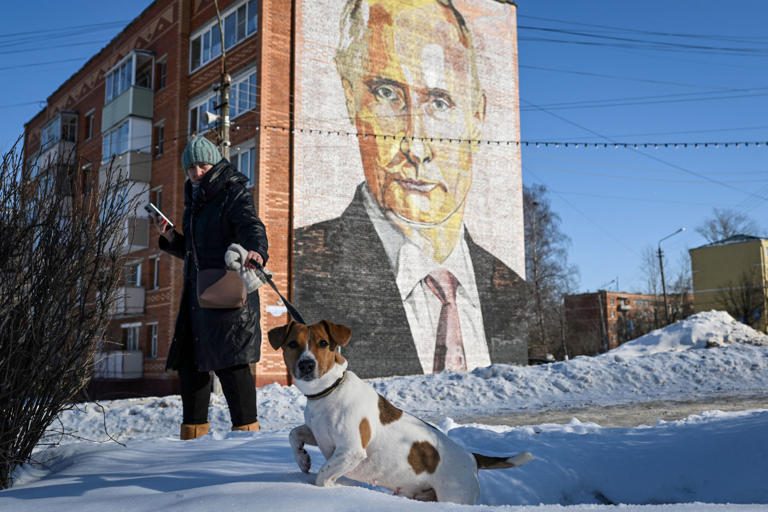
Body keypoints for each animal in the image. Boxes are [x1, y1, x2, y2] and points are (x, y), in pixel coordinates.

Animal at [270, 320, 536, 504]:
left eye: (323, 343)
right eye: (292, 344)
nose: (306, 365)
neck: (329, 391)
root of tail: (471, 457)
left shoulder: (351, 450)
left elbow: (322, 476)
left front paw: (333, 487)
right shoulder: (319, 433)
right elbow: (294, 434)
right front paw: (302, 459)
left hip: (456, 495)